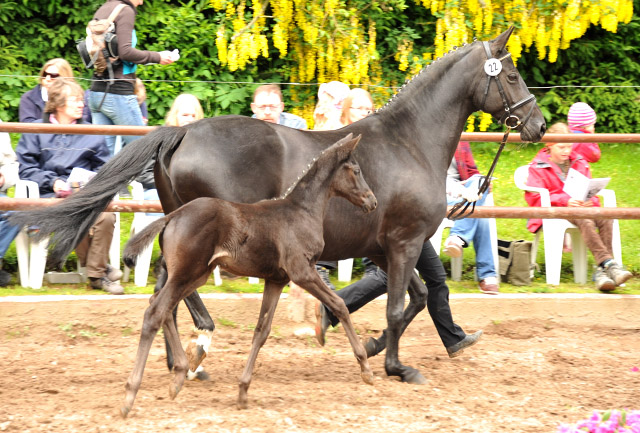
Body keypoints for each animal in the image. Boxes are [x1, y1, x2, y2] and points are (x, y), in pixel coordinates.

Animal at [121, 134, 376, 416]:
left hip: (196, 275)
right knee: (156, 311)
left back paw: (179, 375)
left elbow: (261, 330)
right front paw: (366, 370)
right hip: (186, 273)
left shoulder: (276, 280)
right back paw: (131, 395)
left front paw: (243, 391)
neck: (302, 211)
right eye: (357, 171)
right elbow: (340, 304)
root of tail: (172, 216)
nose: (372, 201)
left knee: (160, 306)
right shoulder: (302, 272)